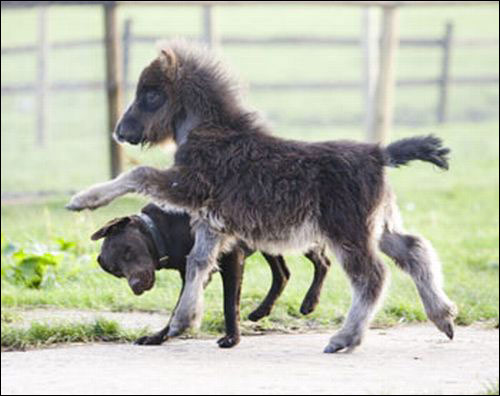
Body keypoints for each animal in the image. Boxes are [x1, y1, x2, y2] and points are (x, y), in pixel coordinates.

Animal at [93, 204, 332, 346]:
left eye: (128, 251)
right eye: (116, 271)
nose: (135, 286)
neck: (165, 229)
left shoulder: (231, 258)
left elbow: (229, 304)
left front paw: (232, 338)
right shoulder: (191, 274)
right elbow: (180, 308)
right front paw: (159, 336)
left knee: (323, 262)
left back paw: (310, 302)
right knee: (283, 274)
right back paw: (261, 311)